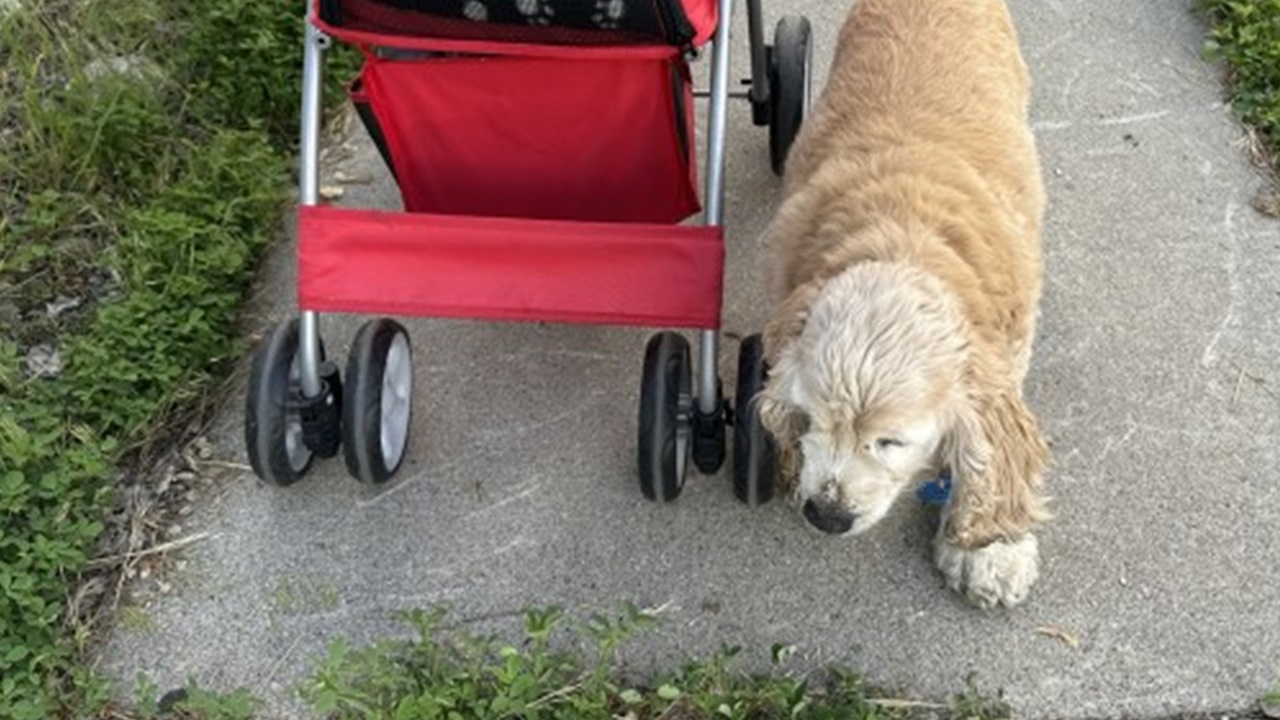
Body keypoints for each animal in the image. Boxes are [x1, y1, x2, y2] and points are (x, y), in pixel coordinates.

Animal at [752, 0, 1044, 604]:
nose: (827, 515)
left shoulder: (1008, 348)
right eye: (811, 419)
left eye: (892, 441)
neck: (904, 240)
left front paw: (991, 550)